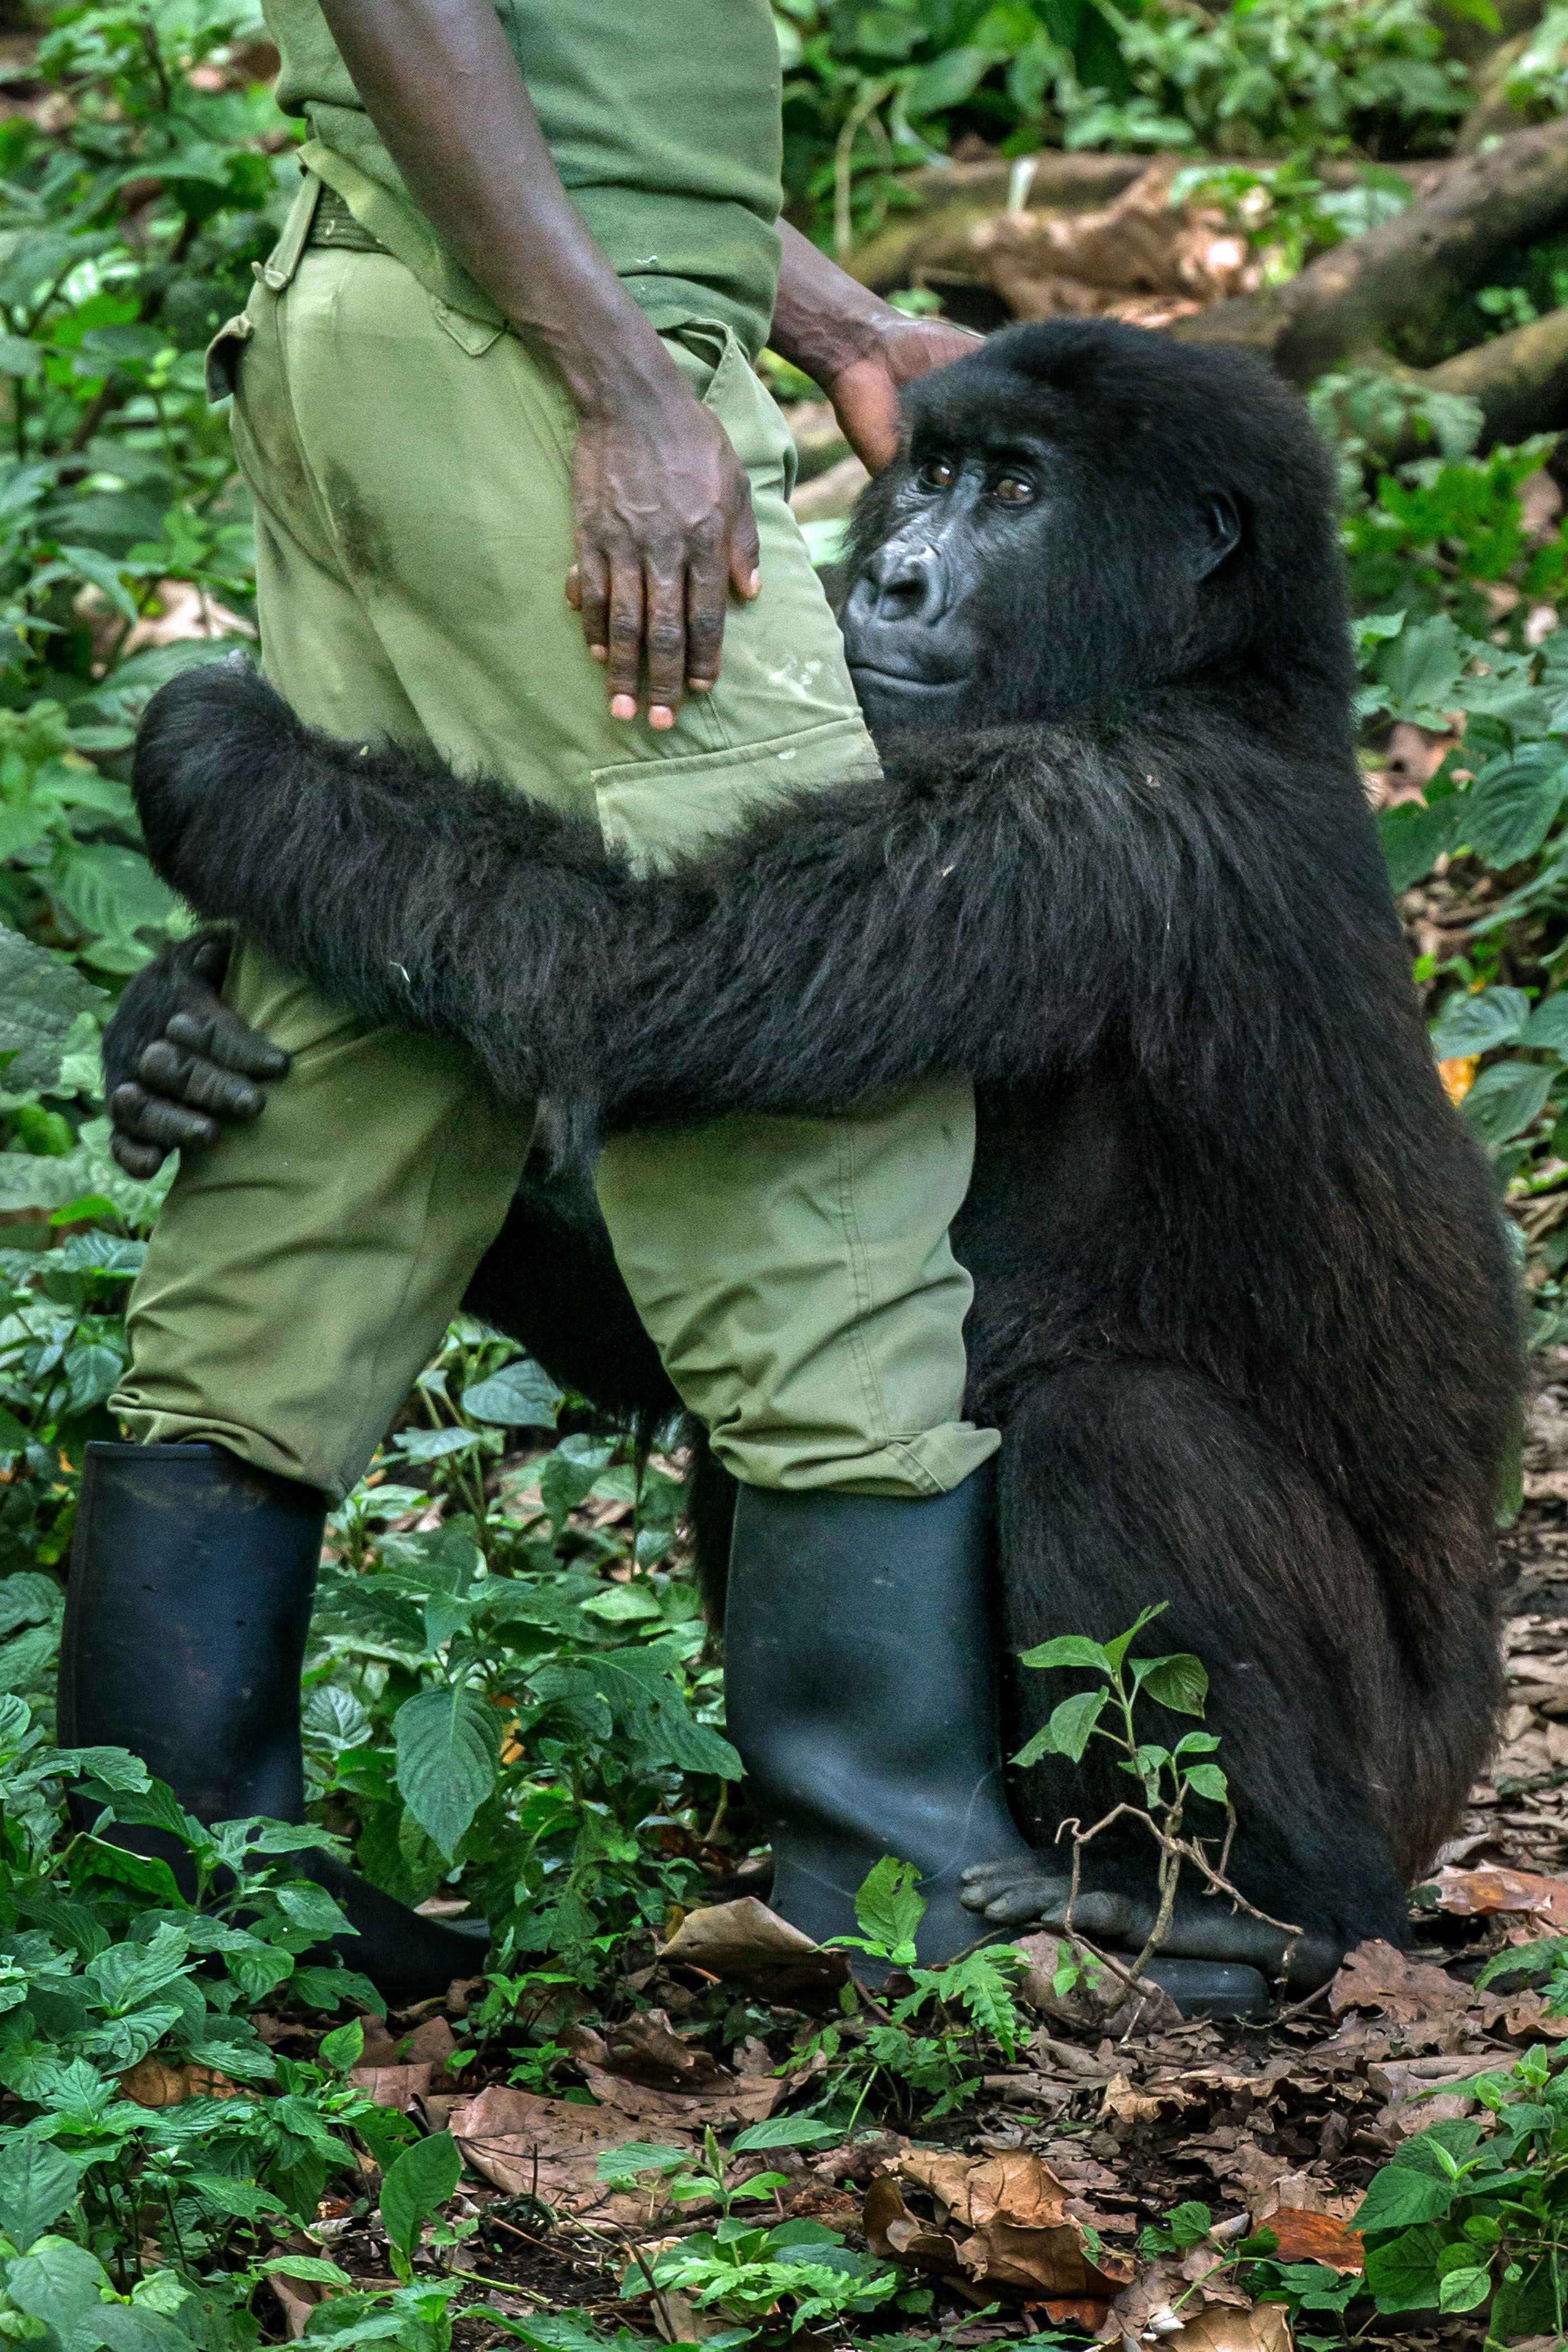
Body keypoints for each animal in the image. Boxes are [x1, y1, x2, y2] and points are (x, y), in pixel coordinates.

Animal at [104, 322, 1523, 1994]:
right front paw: (162, 1042)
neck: (1214, 676)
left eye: (1017, 492)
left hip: (1398, 1793)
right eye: (932, 470)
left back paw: (1246, 1907)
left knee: (1117, 1431)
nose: (894, 575)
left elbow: (625, 985)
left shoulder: (1090, 818)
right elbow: (660, 1307)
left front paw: (226, 762)